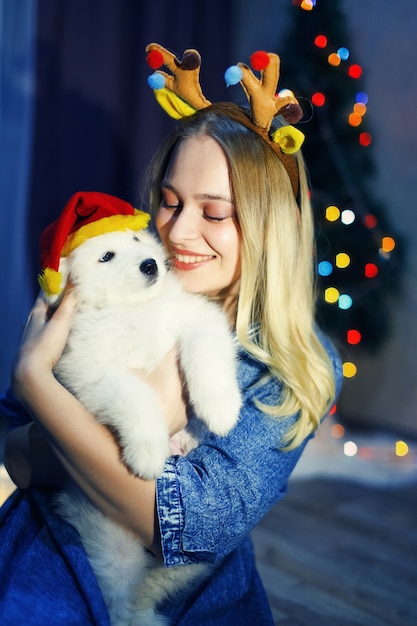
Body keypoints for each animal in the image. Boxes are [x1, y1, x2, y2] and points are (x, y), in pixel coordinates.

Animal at [51, 227, 240, 620]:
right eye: (107, 256)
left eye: (137, 240)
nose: (151, 264)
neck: (133, 311)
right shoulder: (90, 375)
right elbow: (135, 396)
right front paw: (148, 454)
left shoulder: (196, 318)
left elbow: (204, 352)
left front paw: (220, 408)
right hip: (113, 547)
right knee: (124, 599)